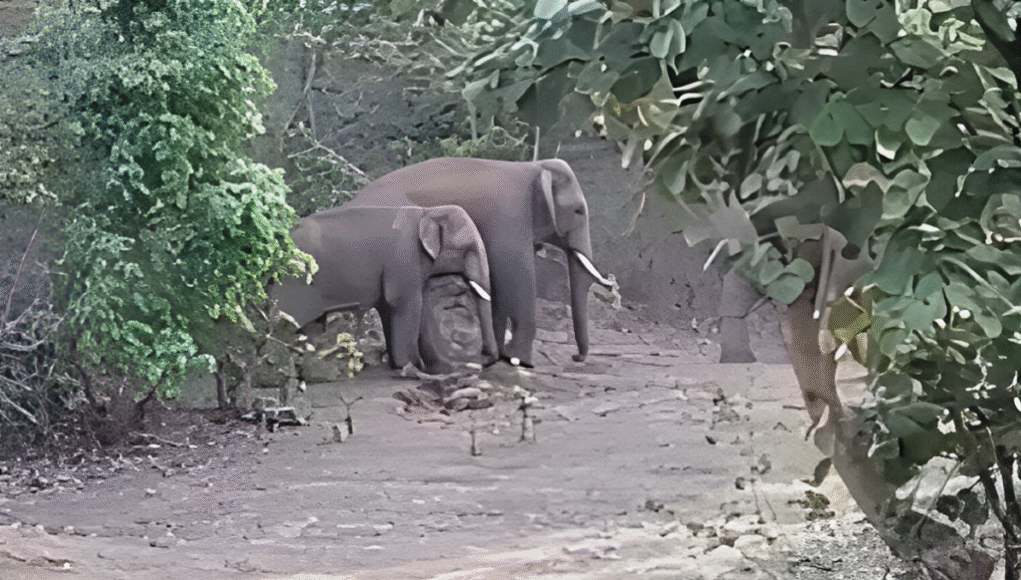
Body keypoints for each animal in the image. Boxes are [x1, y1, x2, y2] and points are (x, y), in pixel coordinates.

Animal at [270, 205, 499, 372]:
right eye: (469, 249)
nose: (484, 360)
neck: (427, 211)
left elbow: (388, 307)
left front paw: (397, 364)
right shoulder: (404, 258)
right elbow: (405, 303)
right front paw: (414, 368)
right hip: (295, 280)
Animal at [345, 157, 613, 367]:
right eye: (578, 211)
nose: (576, 357)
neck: (535, 166)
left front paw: (503, 355)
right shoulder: (510, 218)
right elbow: (517, 283)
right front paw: (520, 360)